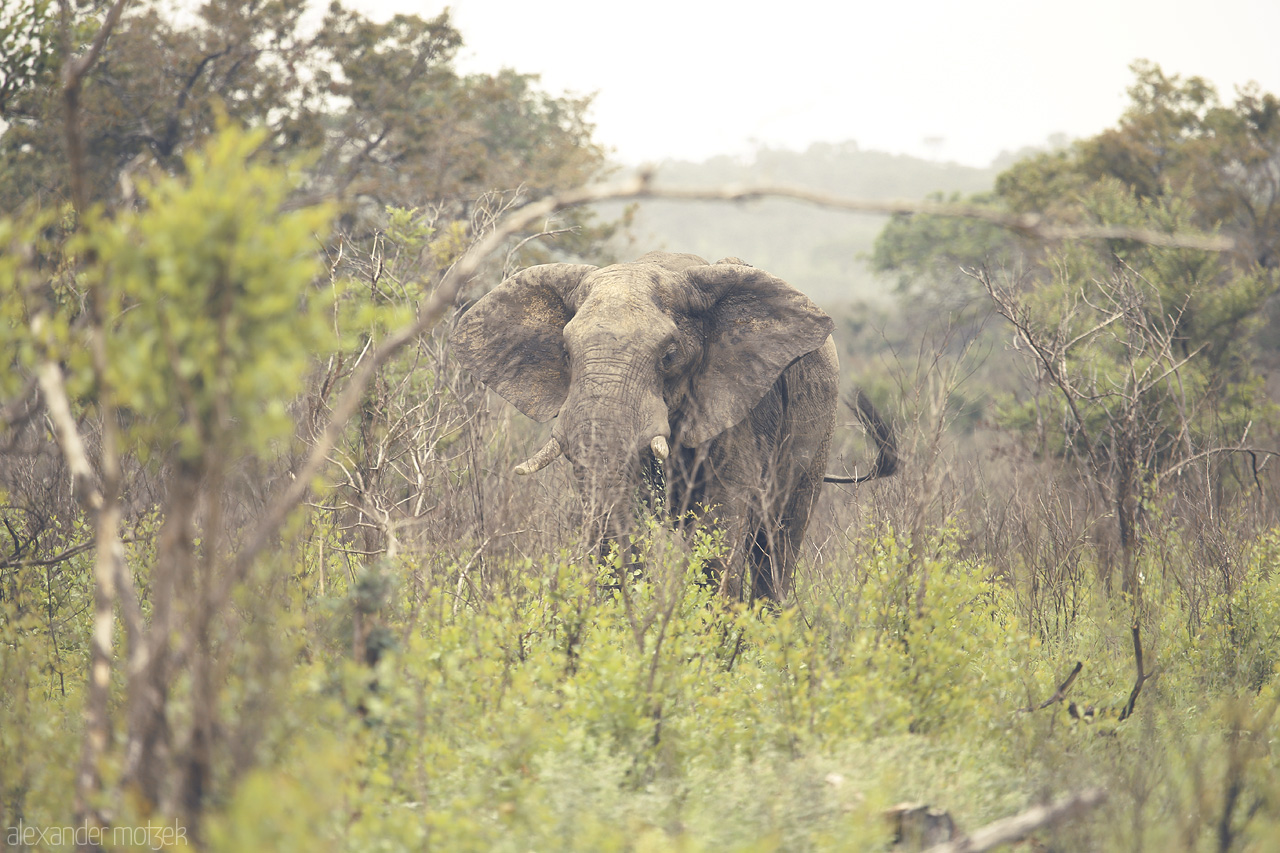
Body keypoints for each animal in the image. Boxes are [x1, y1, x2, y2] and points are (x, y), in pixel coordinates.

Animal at [455, 251, 896, 596]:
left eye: (668, 356)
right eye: (565, 353)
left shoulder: (739, 407)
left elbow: (721, 525)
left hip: (818, 434)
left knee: (779, 540)